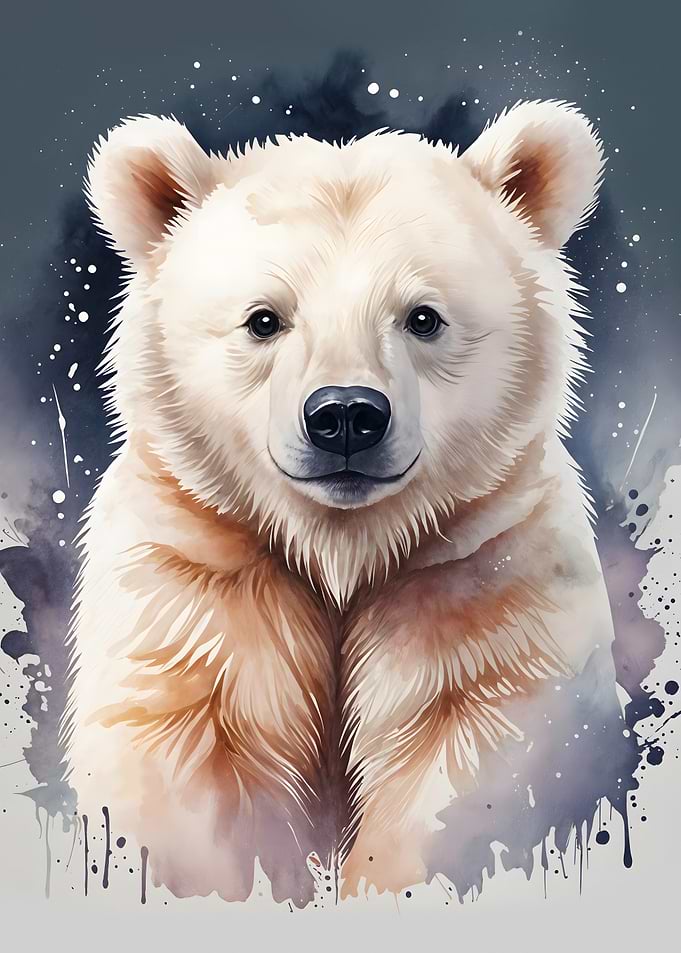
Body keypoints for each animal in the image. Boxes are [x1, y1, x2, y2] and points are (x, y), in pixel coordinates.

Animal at [62, 100, 615, 906]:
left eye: (423, 316)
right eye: (264, 318)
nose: (346, 415)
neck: (343, 550)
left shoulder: (487, 574)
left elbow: (477, 764)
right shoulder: (199, 574)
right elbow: (181, 763)